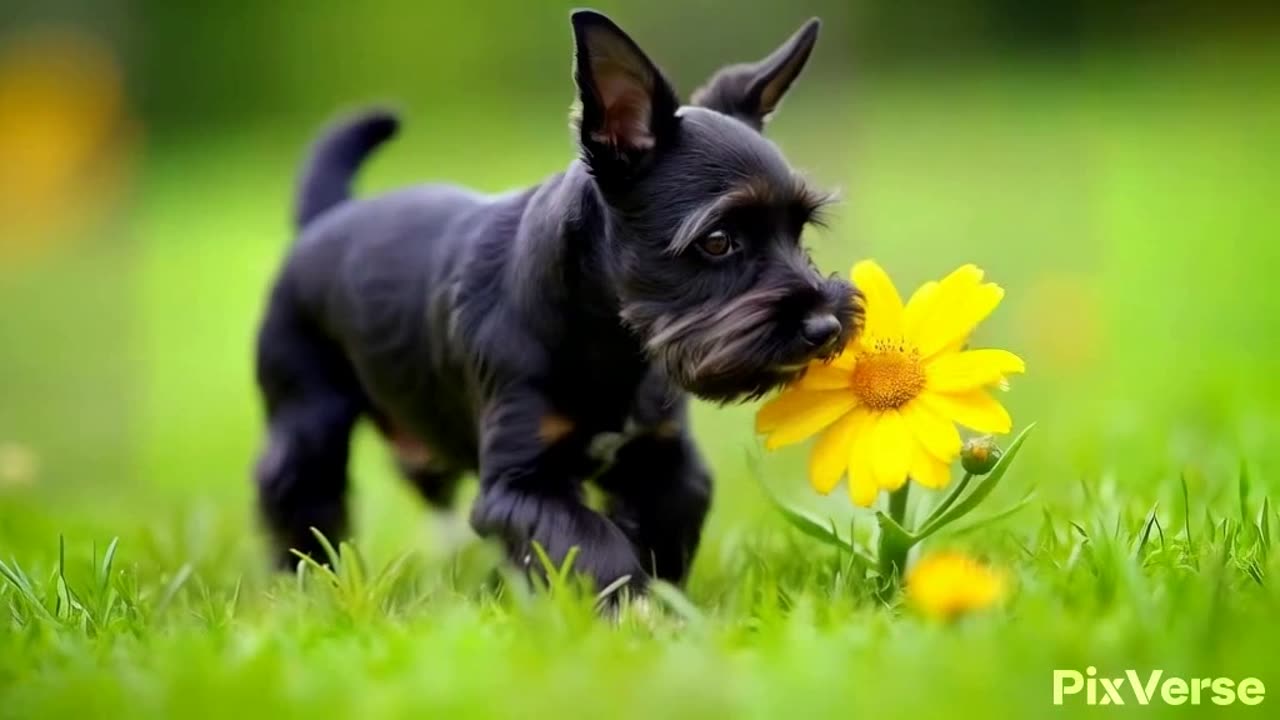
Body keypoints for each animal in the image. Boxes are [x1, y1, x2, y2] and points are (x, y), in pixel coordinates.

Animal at [254, 11, 860, 589]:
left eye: (798, 232)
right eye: (717, 241)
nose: (825, 326)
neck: (609, 339)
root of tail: (325, 217)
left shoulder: (662, 459)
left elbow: (665, 525)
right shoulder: (523, 484)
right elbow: (587, 540)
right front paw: (628, 605)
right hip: (309, 422)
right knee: (299, 497)